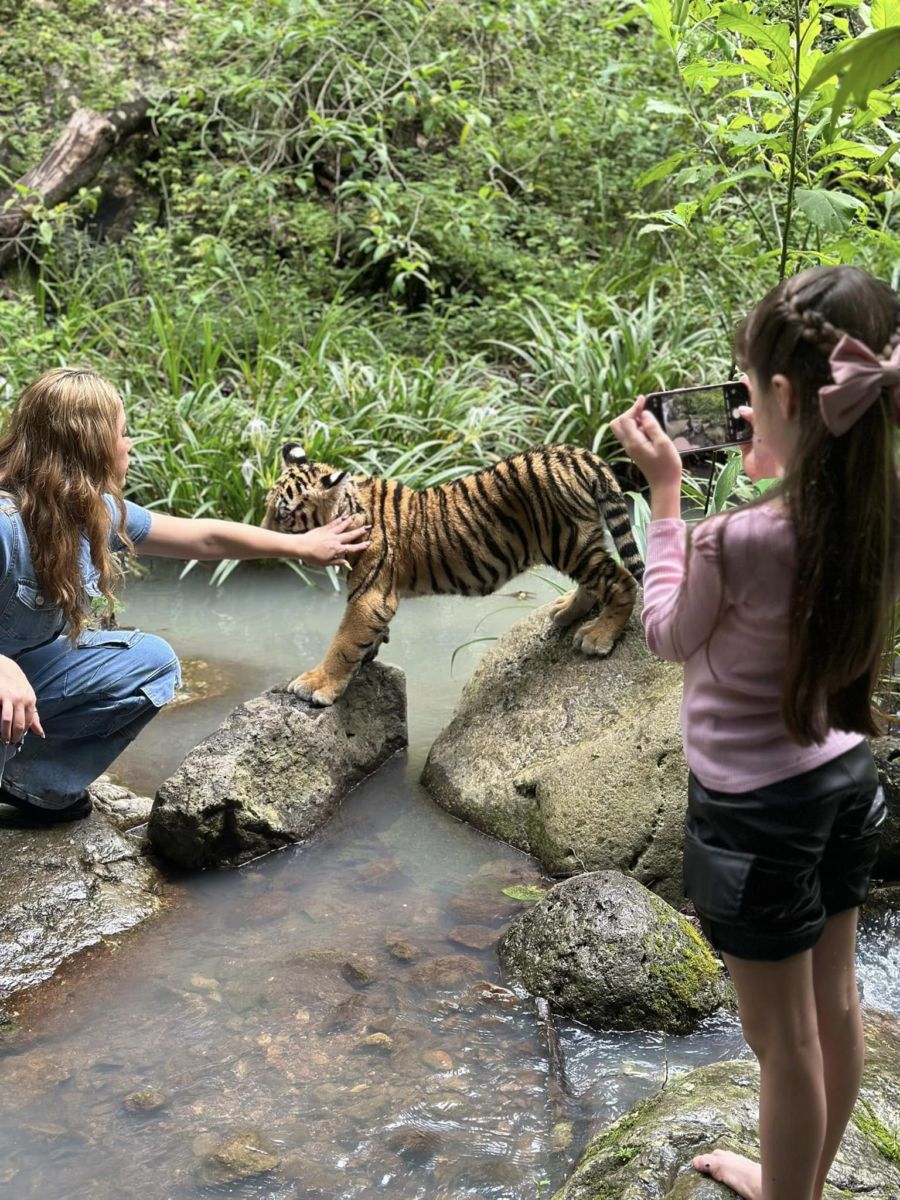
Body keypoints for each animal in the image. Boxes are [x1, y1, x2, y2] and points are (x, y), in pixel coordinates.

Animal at [263, 443, 644, 706]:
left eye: (284, 514)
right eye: (267, 507)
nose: (263, 534)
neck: (350, 508)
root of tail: (576, 453)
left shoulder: (370, 595)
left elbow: (342, 643)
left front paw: (316, 684)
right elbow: (361, 640)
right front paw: (368, 655)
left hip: (567, 541)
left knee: (621, 579)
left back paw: (598, 637)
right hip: (579, 542)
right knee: (598, 579)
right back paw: (565, 610)